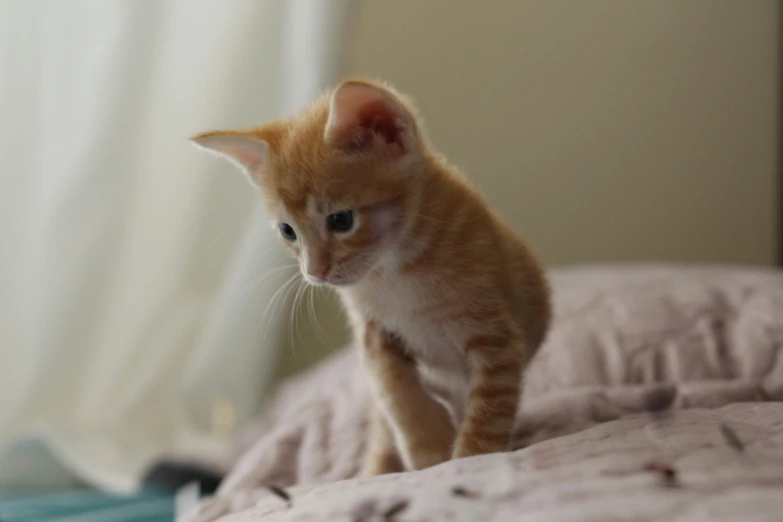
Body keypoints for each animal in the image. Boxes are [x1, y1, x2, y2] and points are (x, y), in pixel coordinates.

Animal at [194, 79, 556, 474]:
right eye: (288, 231)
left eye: (341, 220)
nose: (314, 273)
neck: (396, 268)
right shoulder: (374, 337)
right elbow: (399, 396)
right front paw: (429, 451)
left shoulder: (496, 338)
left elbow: (489, 412)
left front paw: (471, 460)